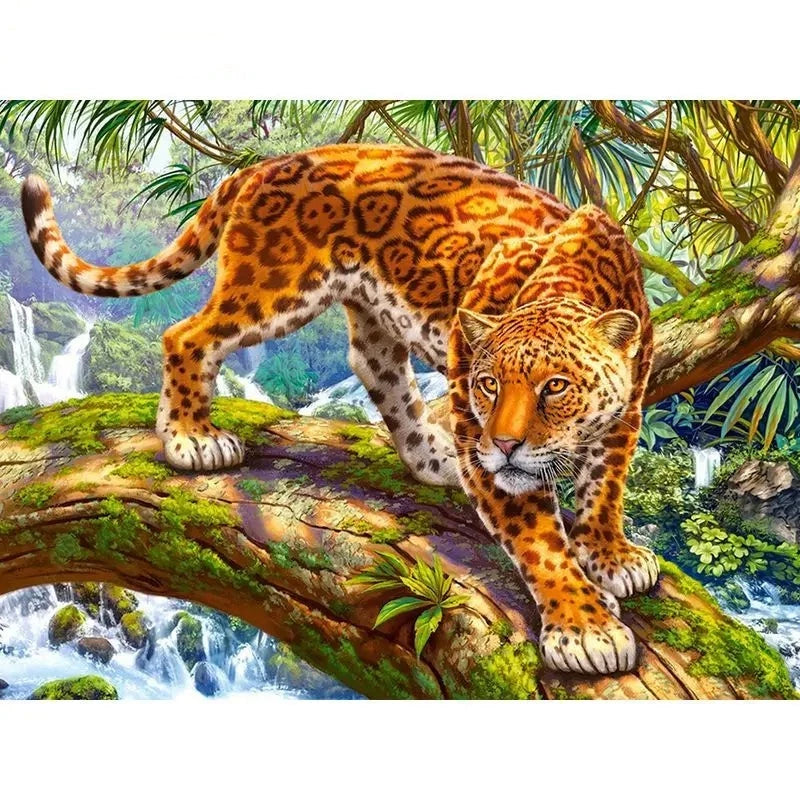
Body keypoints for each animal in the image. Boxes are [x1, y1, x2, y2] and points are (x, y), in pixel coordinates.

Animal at [21, 143, 659, 674]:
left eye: (555, 387)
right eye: (487, 384)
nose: (500, 445)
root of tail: (267, 165)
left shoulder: (626, 414)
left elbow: (606, 487)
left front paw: (613, 555)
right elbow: (541, 543)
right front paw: (586, 629)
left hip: (370, 315)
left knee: (377, 371)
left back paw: (435, 459)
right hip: (274, 285)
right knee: (188, 335)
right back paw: (192, 438)